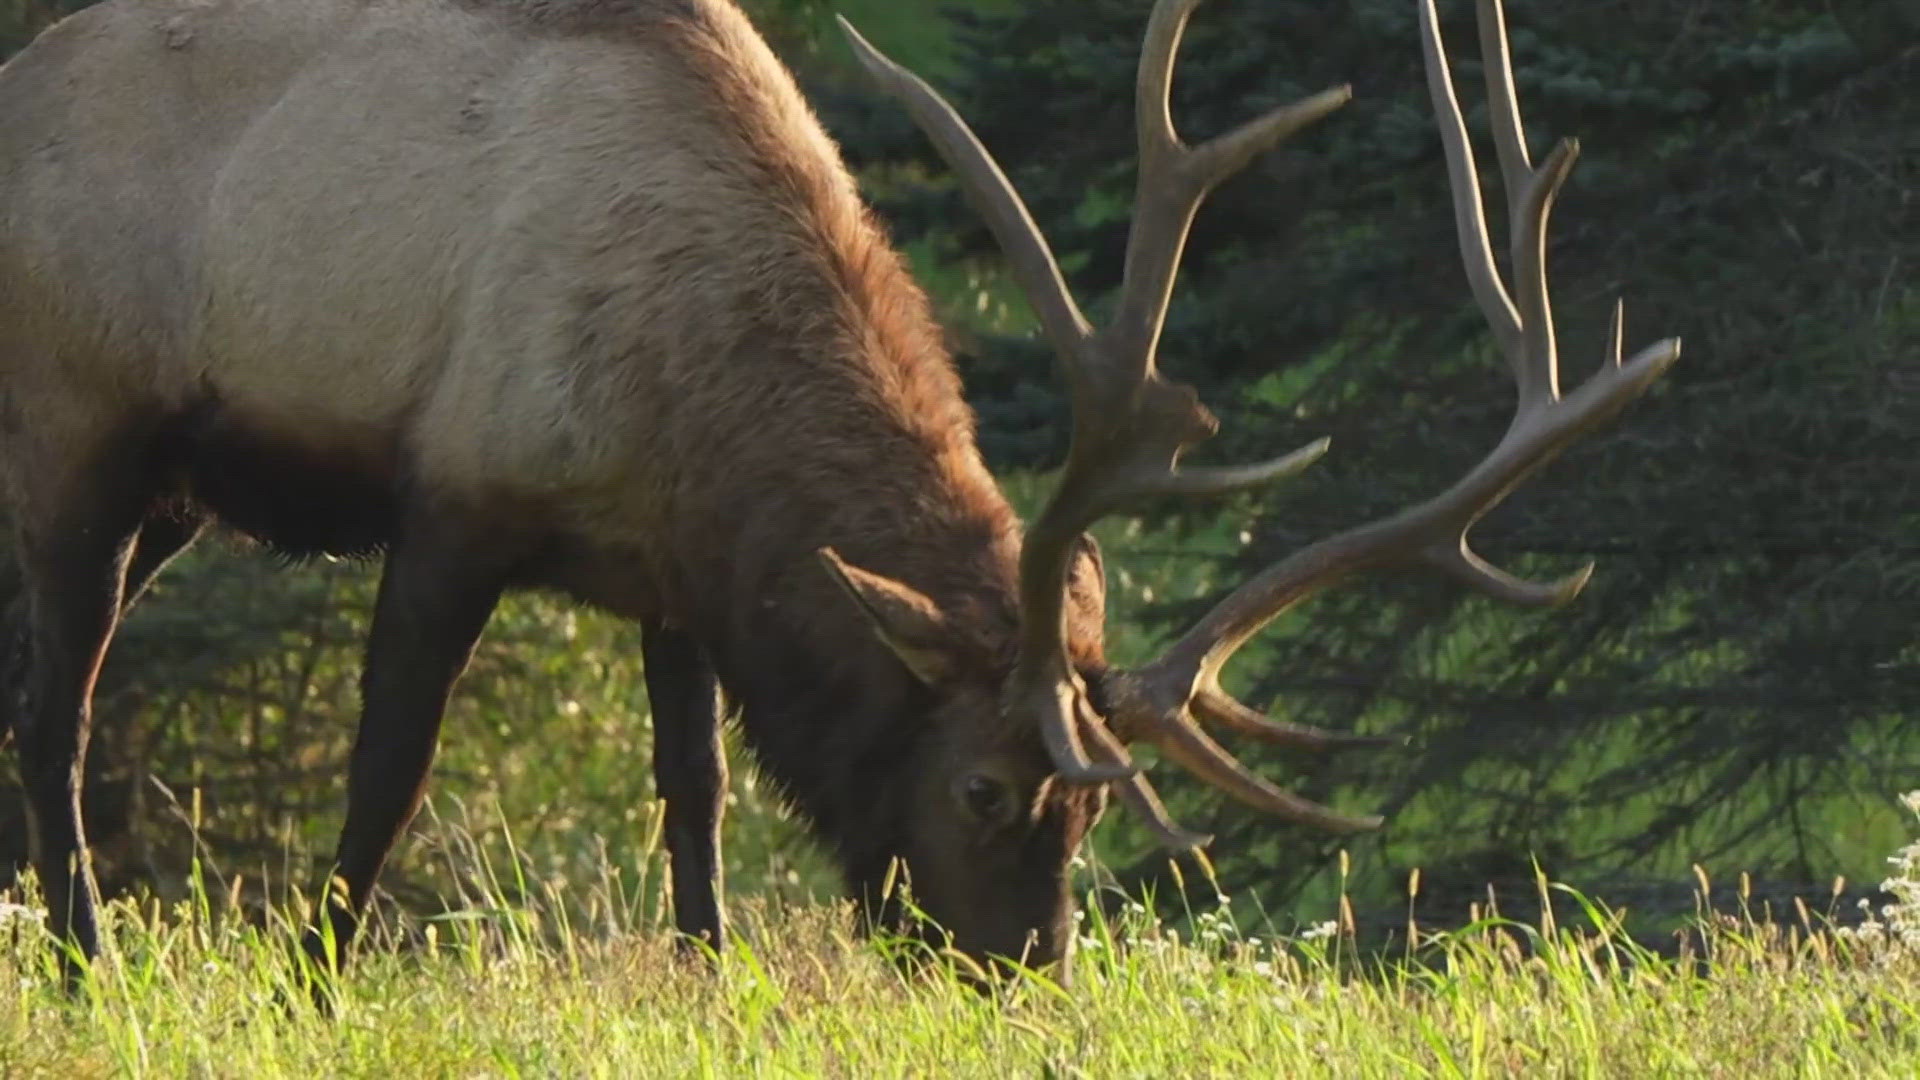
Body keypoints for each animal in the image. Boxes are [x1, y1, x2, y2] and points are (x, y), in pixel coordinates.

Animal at [0, 0, 1674, 980]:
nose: (1027, 971)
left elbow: (695, 794)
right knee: (57, 706)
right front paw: (318, 972)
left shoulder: (670, 572)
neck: (700, 404)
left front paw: (710, 978)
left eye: (1100, 808)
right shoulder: (455, 497)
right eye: (988, 787)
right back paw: (84, 956)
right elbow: (387, 774)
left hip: (171, 496)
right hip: (81, 427)